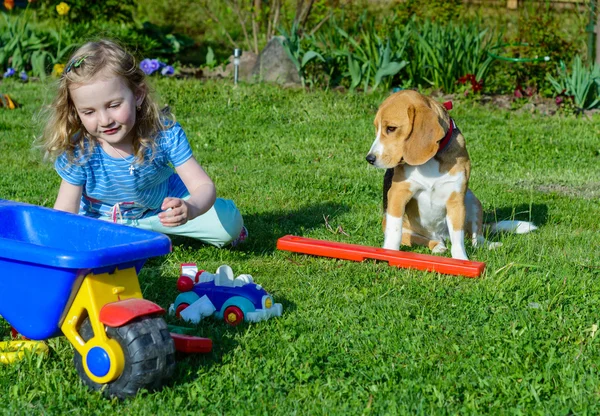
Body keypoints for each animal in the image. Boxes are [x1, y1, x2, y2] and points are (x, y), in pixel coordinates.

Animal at [366, 90, 536, 260]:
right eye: (376, 128)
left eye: (391, 128)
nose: (369, 159)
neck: (431, 160)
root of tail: (440, 236)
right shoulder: (398, 194)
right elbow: (394, 231)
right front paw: (389, 252)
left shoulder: (456, 200)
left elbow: (458, 239)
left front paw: (461, 260)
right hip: (397, 225)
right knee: (421, 239)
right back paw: (437, 246)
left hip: (472, 200)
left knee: (476, 238)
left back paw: (489, 244)